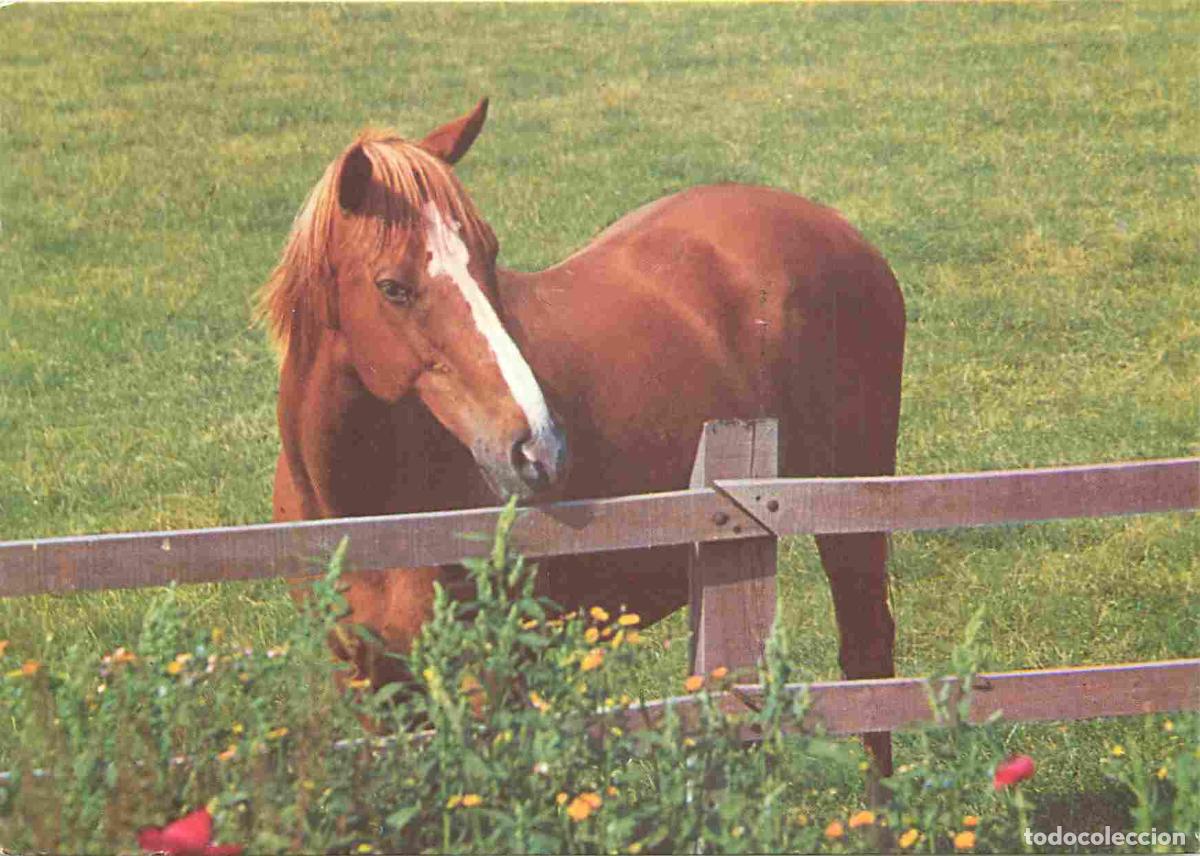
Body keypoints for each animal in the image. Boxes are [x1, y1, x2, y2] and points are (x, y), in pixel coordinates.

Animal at [259, 98, 905, 784]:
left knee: (868, 661)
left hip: (853, 521)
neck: (370, 511)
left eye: (489, 256)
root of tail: (838, 229)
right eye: (393, 287)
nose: (536, 448)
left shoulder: (494, 676)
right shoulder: (369, 685)